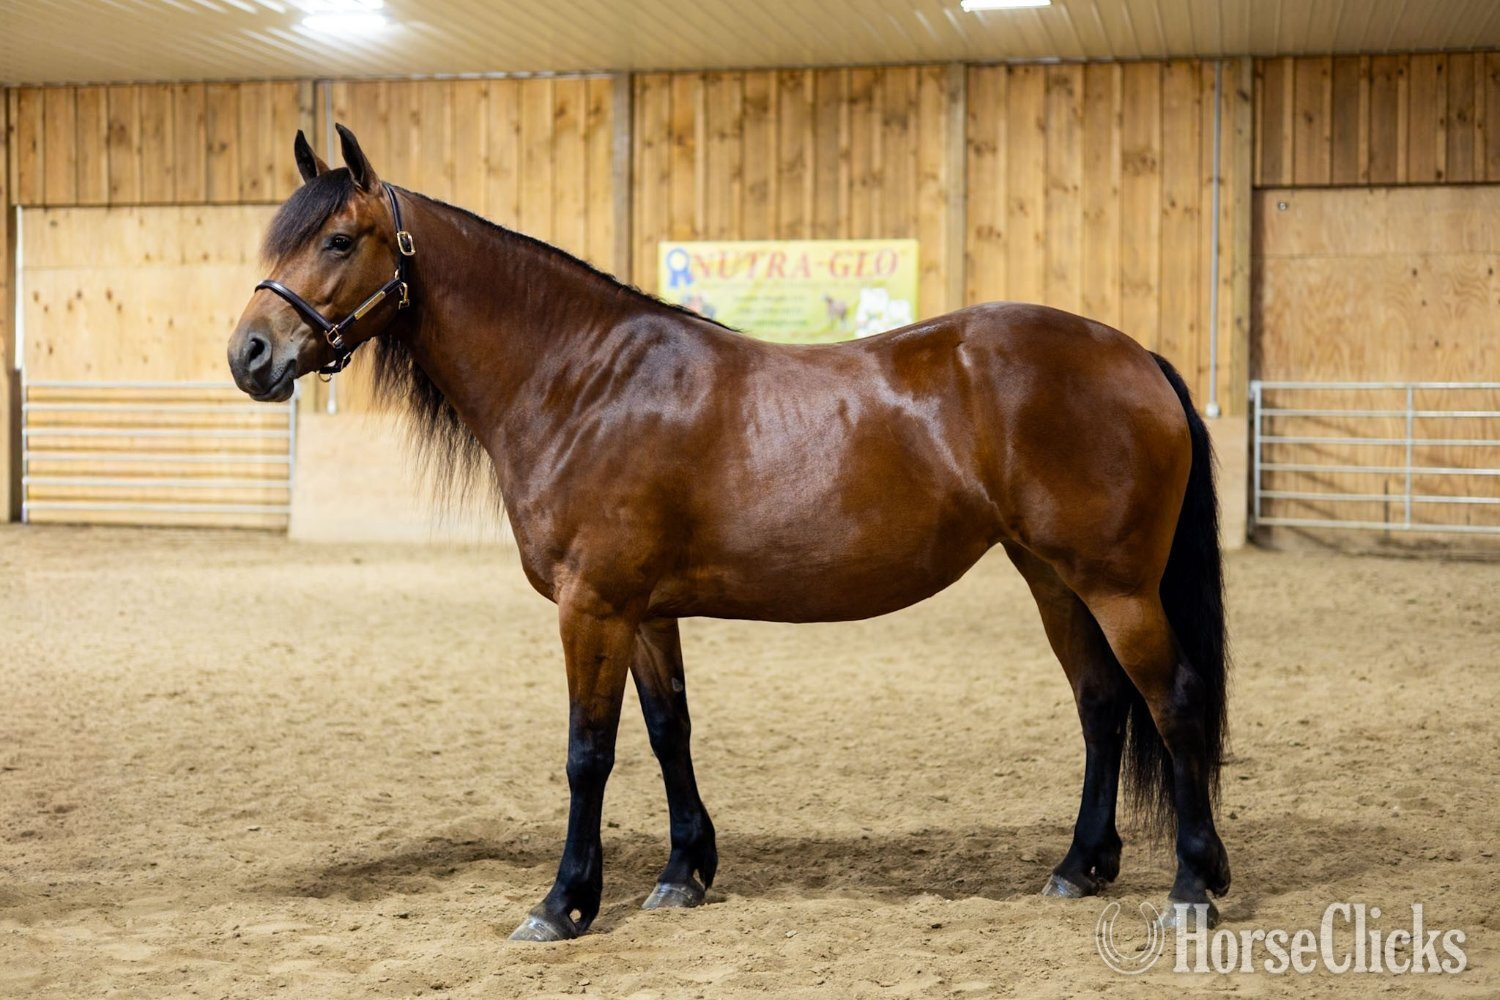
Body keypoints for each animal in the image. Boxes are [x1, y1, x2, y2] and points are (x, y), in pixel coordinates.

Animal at [228, 126, 1231, 942]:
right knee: (1101, 705)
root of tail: (1135, 355)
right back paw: (1079, 867)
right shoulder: (642, 611)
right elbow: (670, 729)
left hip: (1115, 586)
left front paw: (565, 904)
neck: (583, 382)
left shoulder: (591, 607)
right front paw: (683, 873)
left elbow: (588, 753)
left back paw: (1191, 886)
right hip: (1051, 577)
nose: (249, 355)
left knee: (1173, 701)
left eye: (338, 239)